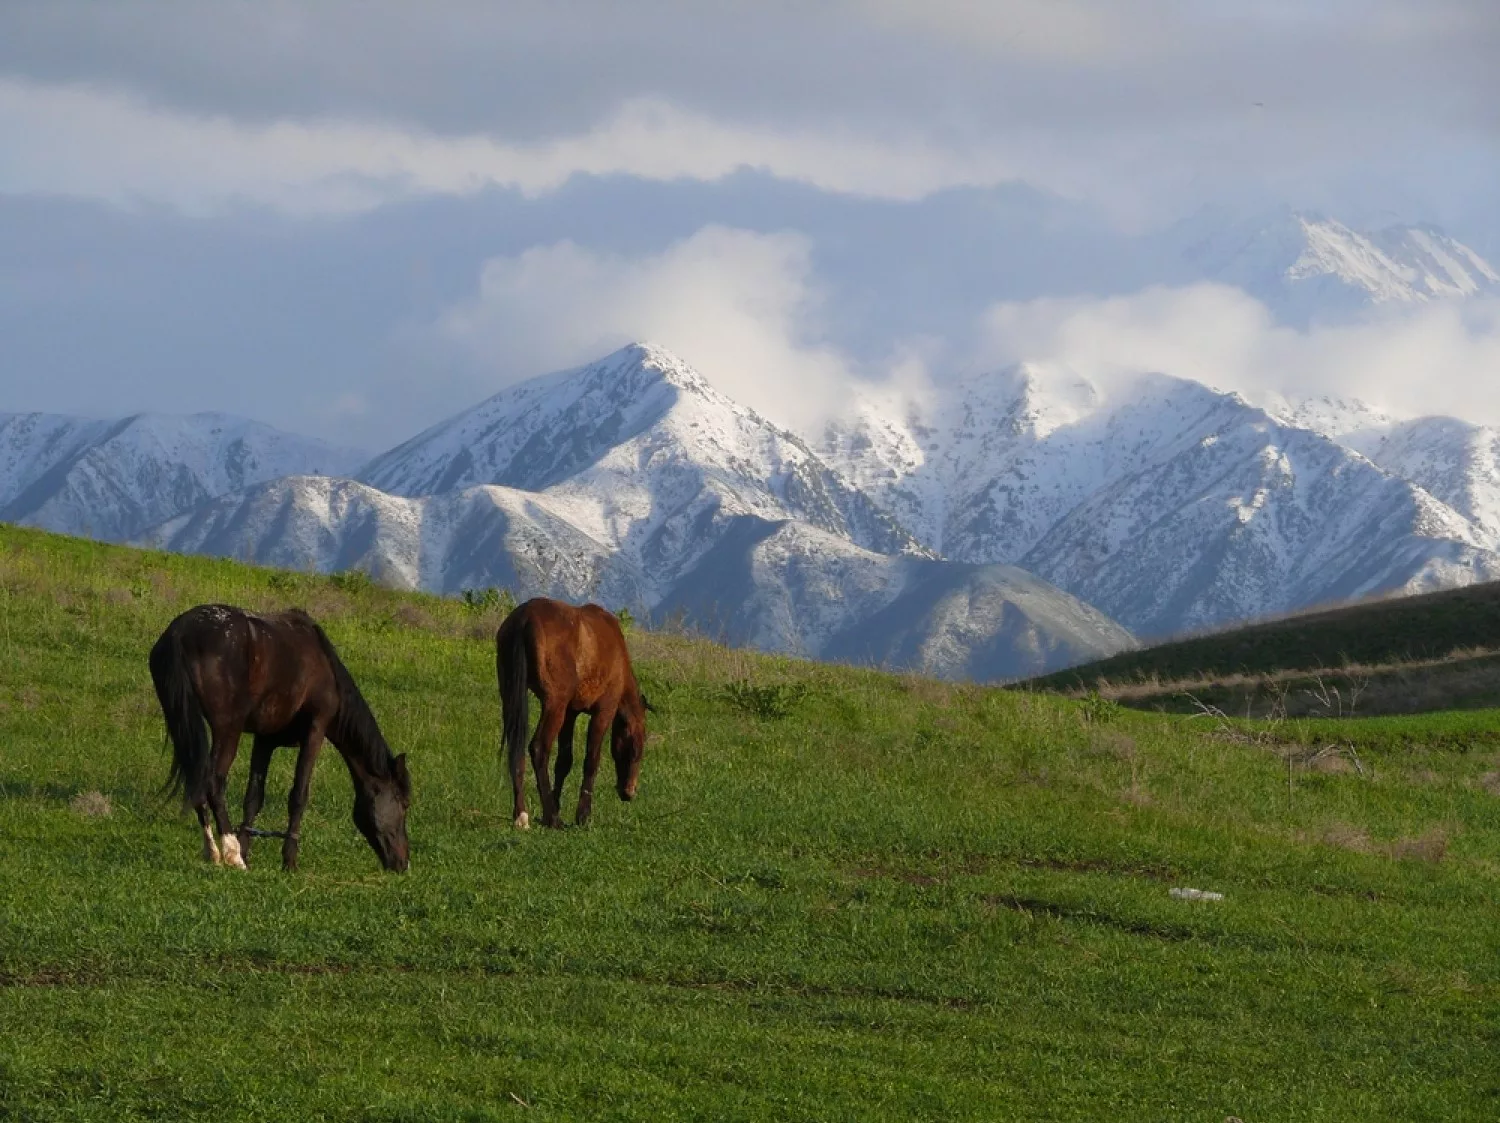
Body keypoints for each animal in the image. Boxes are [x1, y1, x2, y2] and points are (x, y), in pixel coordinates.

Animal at [151, 599, 411, 869]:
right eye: (404, 804)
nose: (403, 863)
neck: (324, 665)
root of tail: (180, 632)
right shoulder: (315, 732)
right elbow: (298, 795)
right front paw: (288, 860)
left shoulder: (264, 740)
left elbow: (253, 797)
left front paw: (247, 849)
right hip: (228, 730)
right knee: (213, 781)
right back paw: (232, 854)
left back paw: (214, 852)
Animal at [498, 599, 651, 827]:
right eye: (637, 747)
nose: (629, 792)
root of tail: (525, 617)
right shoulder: (603, 712)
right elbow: (591, 760)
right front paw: (583, 815)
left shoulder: (570, 714)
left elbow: (564, 761)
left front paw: (556, 804)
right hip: (555, 705)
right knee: (538, 748)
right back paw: (552, 818)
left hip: (511, 698)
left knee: (516, 750)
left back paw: (522, 815)